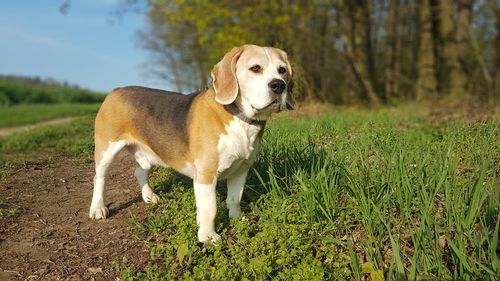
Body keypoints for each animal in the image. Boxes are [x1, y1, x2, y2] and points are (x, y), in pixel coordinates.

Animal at [88, 44, 294, 243]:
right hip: (106, 150)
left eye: (282, 70)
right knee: (99, 178)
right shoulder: (206, 175)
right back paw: (98, 208)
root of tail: (116, 90)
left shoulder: (241, 169)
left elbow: (234, 198)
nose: (279, 85)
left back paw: (149, 196)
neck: (239, 118)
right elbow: (210, 208)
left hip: (149, 153)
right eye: (255, 68)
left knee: (139, 172)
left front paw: (236, 219)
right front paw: (208, 236)